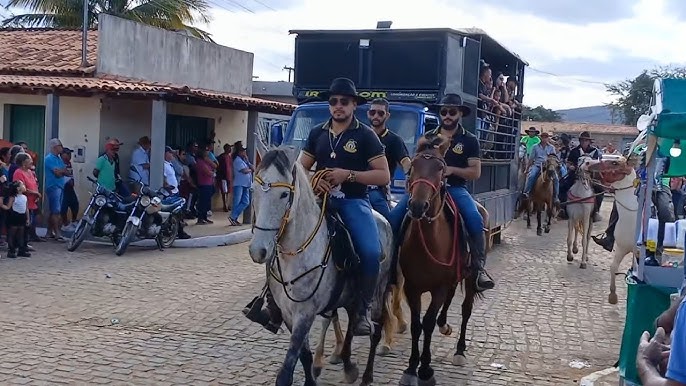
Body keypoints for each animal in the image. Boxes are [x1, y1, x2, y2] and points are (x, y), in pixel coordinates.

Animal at [250, 147, 396, 386]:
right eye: (253, 190)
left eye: (283, 195)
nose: (258, 250)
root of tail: (383, 219)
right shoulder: (289, 315)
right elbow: (305, 356)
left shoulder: (305, 314)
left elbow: (286, 371)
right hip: (350, 297)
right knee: (351, 325)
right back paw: (348, 365)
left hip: (378, 292)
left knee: (376, 329)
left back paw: (366, 375)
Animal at [398, 133, 478, 386]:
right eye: (413, 165)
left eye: (441, 168)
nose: (417, 205)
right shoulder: (412, 287)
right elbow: (416, 325)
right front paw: (411, 368)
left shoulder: (438, 287)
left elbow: (428, 323)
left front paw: (425, 370)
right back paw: (445, 325)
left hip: (471, 278)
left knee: (465, 309)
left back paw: (460, 351)